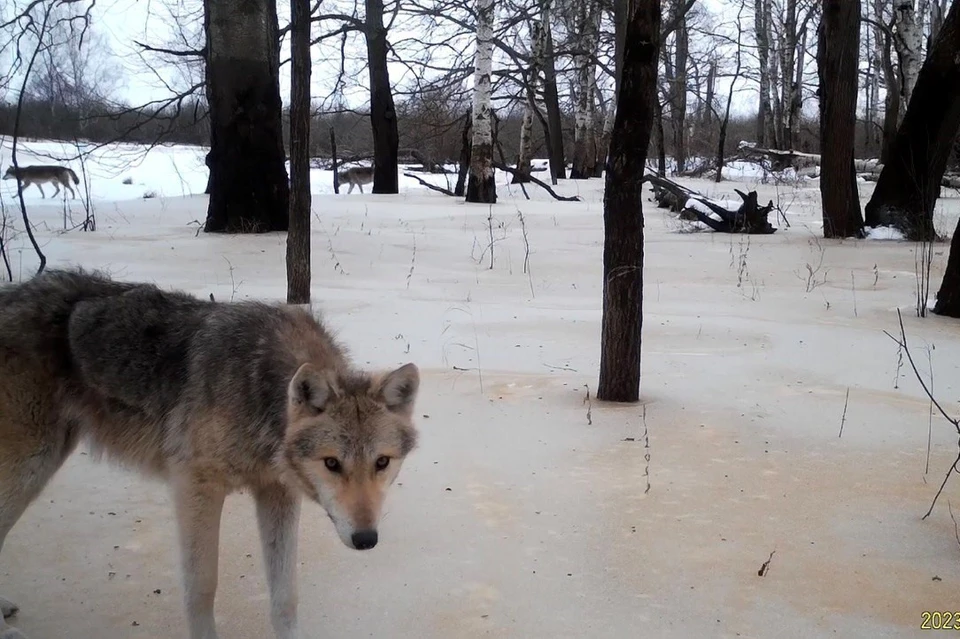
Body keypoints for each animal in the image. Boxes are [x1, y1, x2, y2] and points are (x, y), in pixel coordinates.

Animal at [0, 268, 420, 639]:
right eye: (332, 463)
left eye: (382, 463)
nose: (366, 539)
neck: (256, 392)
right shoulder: (195, 487)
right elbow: (202, 588)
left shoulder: (277, 492)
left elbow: (285, 596)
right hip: (30, 467)